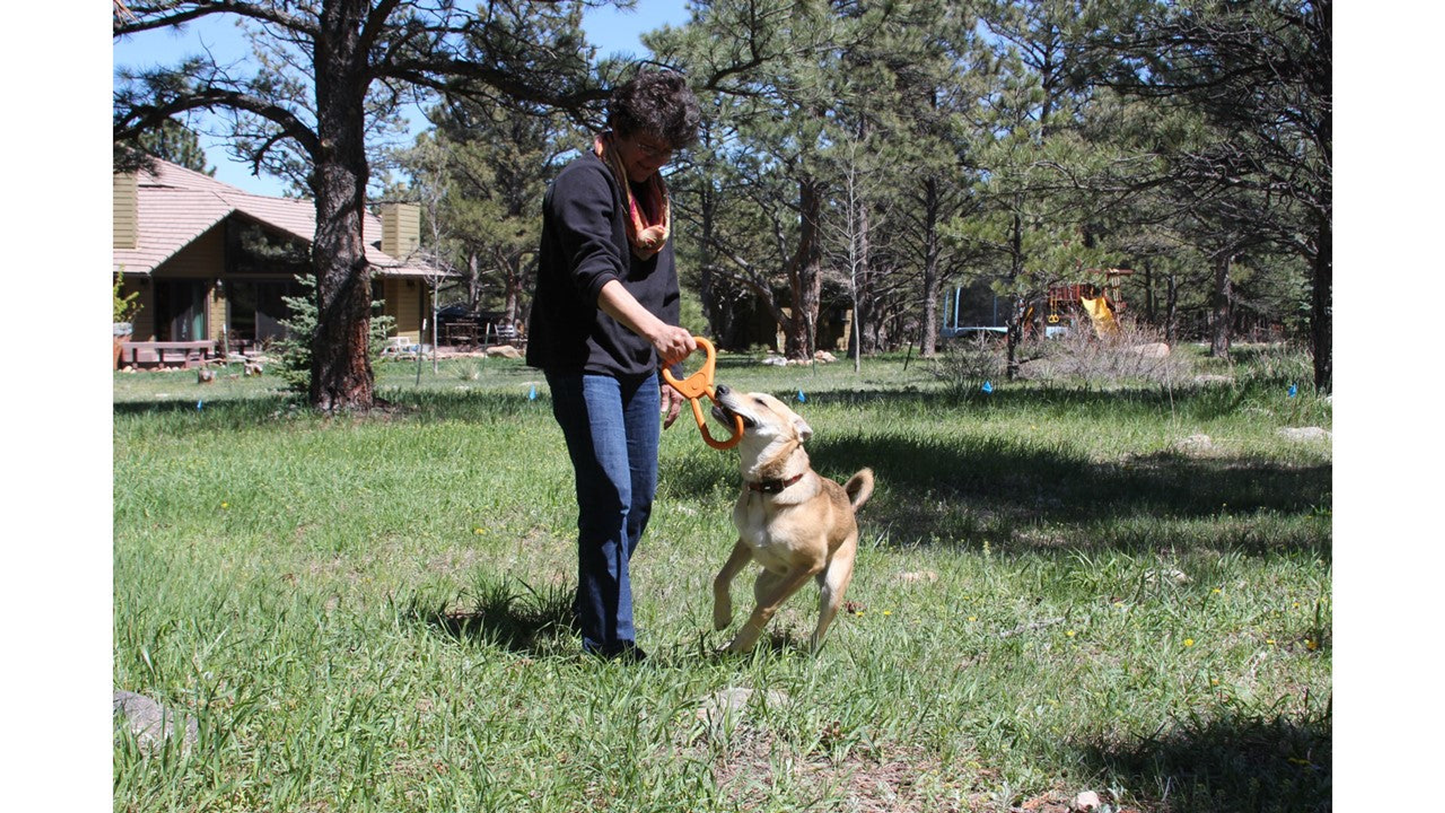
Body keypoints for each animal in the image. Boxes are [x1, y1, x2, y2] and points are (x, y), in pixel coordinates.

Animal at [708, 387, 872, 655]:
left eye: (760, 401)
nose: (720, 387)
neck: (768, 489)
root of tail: (850, 506)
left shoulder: (809, 565)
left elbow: (765, 608)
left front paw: (743, 643)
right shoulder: (746, 544)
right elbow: (721, 579)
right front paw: (722, 616)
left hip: (832, 588)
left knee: (817, 626)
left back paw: (809, 653)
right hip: (766, 581)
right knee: (765, 598)